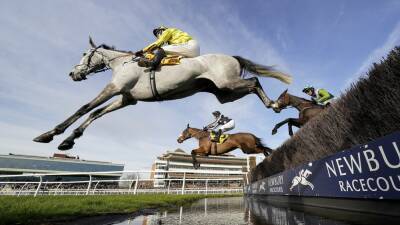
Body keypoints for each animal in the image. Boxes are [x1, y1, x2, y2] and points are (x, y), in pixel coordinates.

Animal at [33, 37, 290, 149]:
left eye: (85, 55)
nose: (72, 74)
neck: (121, 63)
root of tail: (232, 57)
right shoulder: (127, 99)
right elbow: (96, 114)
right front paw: (70, 139)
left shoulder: (114, 89)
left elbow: (84, 108)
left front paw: (50, 134)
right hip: (224, 93)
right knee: (252, 84)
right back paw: (273, 104)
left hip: (228, 83)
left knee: (254, 81)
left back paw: (274, 104)